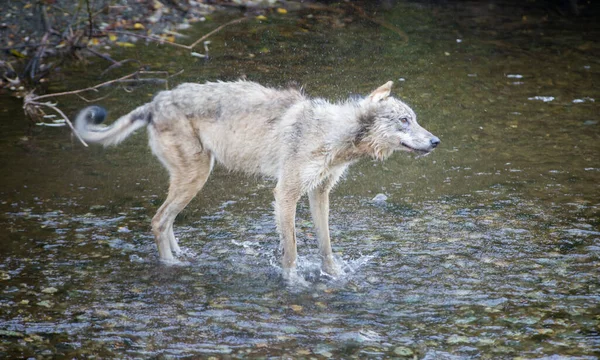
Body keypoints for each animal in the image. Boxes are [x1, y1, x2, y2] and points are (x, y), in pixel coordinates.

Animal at [75, 81, 440, 278]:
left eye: (415, 119)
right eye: (404, 121)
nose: (437, 141)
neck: (332, 134)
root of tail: (154, 102)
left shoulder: (319, 194)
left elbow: (326, 246)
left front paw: (334, 277)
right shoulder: (286, 193)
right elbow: (291, 251)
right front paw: (294, 283)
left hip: (191, 178)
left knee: (167, 221)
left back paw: (181, 256)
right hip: (195, 177)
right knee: (158, 221)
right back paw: (171, 266)